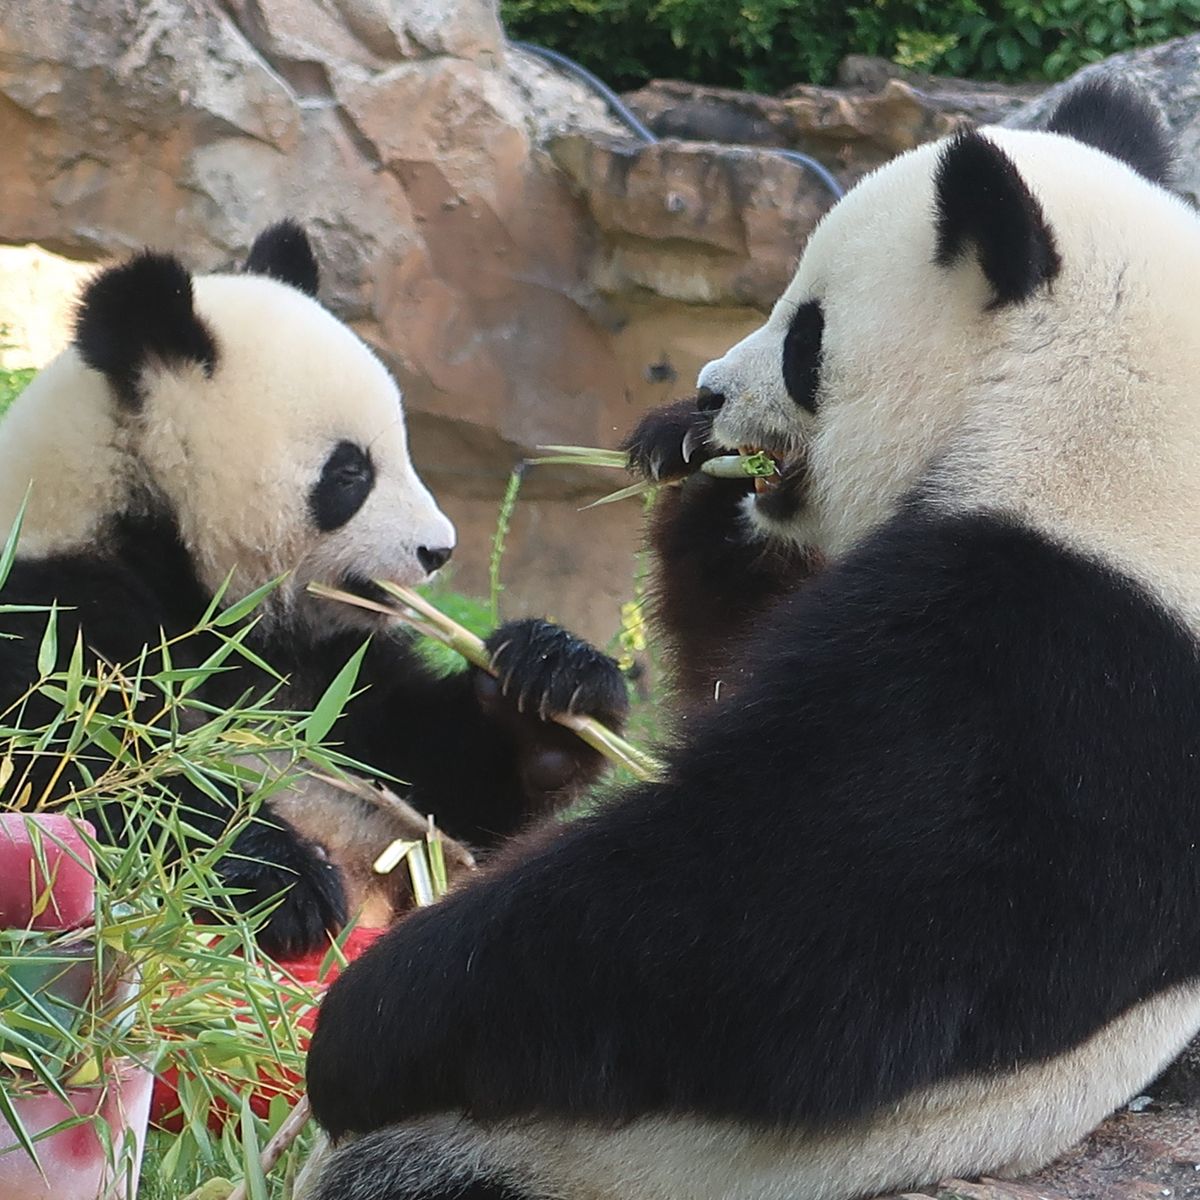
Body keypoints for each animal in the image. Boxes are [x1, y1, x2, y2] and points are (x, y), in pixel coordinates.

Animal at [0, 223, 633, 955]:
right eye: (350, 472)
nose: (439, 549)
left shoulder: (331, 675)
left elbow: (430, 784)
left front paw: (554, 684)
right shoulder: (52, 609)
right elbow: (84, 767)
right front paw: (284, 883)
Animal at [300, 77, 1200, 1200]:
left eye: (806, 335)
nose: (710, 388)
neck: (1112, 422)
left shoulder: (1054, 672)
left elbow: (780, 932)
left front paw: (363, 1023)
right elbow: (730, 673)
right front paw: (681, 461)